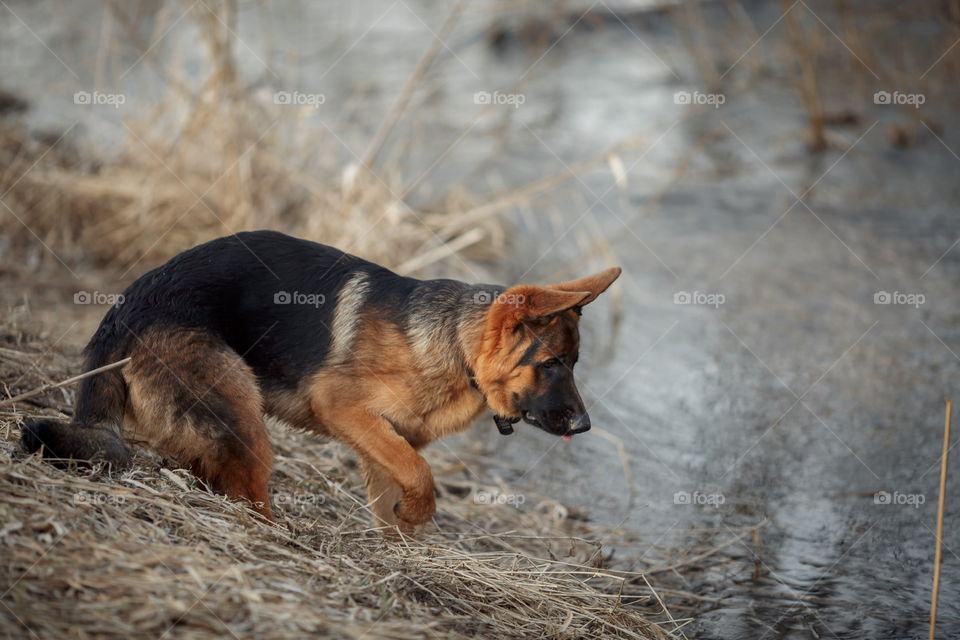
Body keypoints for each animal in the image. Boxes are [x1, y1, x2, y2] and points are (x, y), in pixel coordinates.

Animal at [24, 231, 624, 528]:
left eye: (574, 363)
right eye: (553, 364)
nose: (585, 426)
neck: (454, 346)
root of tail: (123, 310)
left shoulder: (385, 438)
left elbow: (399, 490)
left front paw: (402, 556)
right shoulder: (345, 409)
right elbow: (422, 475)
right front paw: (420, 516)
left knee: (212, 472)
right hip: (242, 409)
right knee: (247, 490)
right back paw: (276, 535)